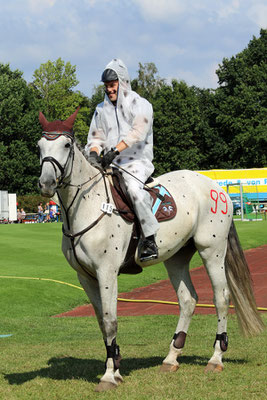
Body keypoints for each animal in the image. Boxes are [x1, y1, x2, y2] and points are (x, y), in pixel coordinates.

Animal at [37, 111, 266, 392]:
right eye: (39, 146)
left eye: (66, 145)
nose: (46, 183)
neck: (86, 207)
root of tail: (216, 186)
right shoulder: (85, 277)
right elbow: (102, 322)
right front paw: (115, 364)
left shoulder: (106, 272)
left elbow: (110, 319)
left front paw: (109, 375)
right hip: (176, 257)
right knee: (188, 300)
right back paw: (171, 357)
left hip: (212, 251)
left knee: (221, 298)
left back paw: (215, 358)